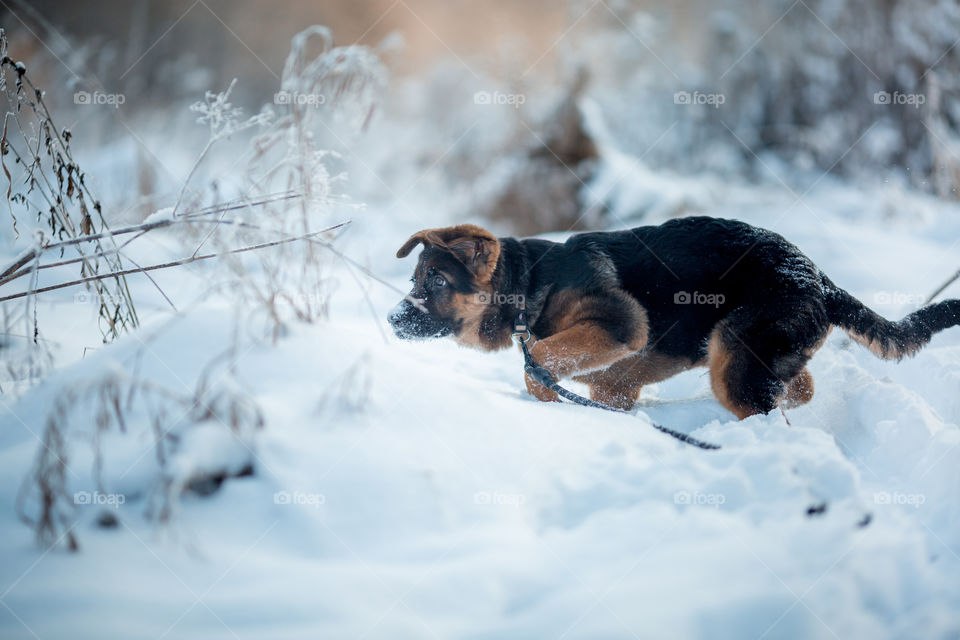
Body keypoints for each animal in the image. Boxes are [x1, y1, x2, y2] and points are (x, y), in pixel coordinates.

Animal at [386, 218, 956, 420]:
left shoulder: (621, 325)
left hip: (734, 355)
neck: (530, 286)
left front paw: (545, 401)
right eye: (415, 280)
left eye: (436, 283)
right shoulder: (613, 383)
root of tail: (817, 276)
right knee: (801, 387)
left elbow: (539, 361)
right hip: (757, 351)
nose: (392, 320)